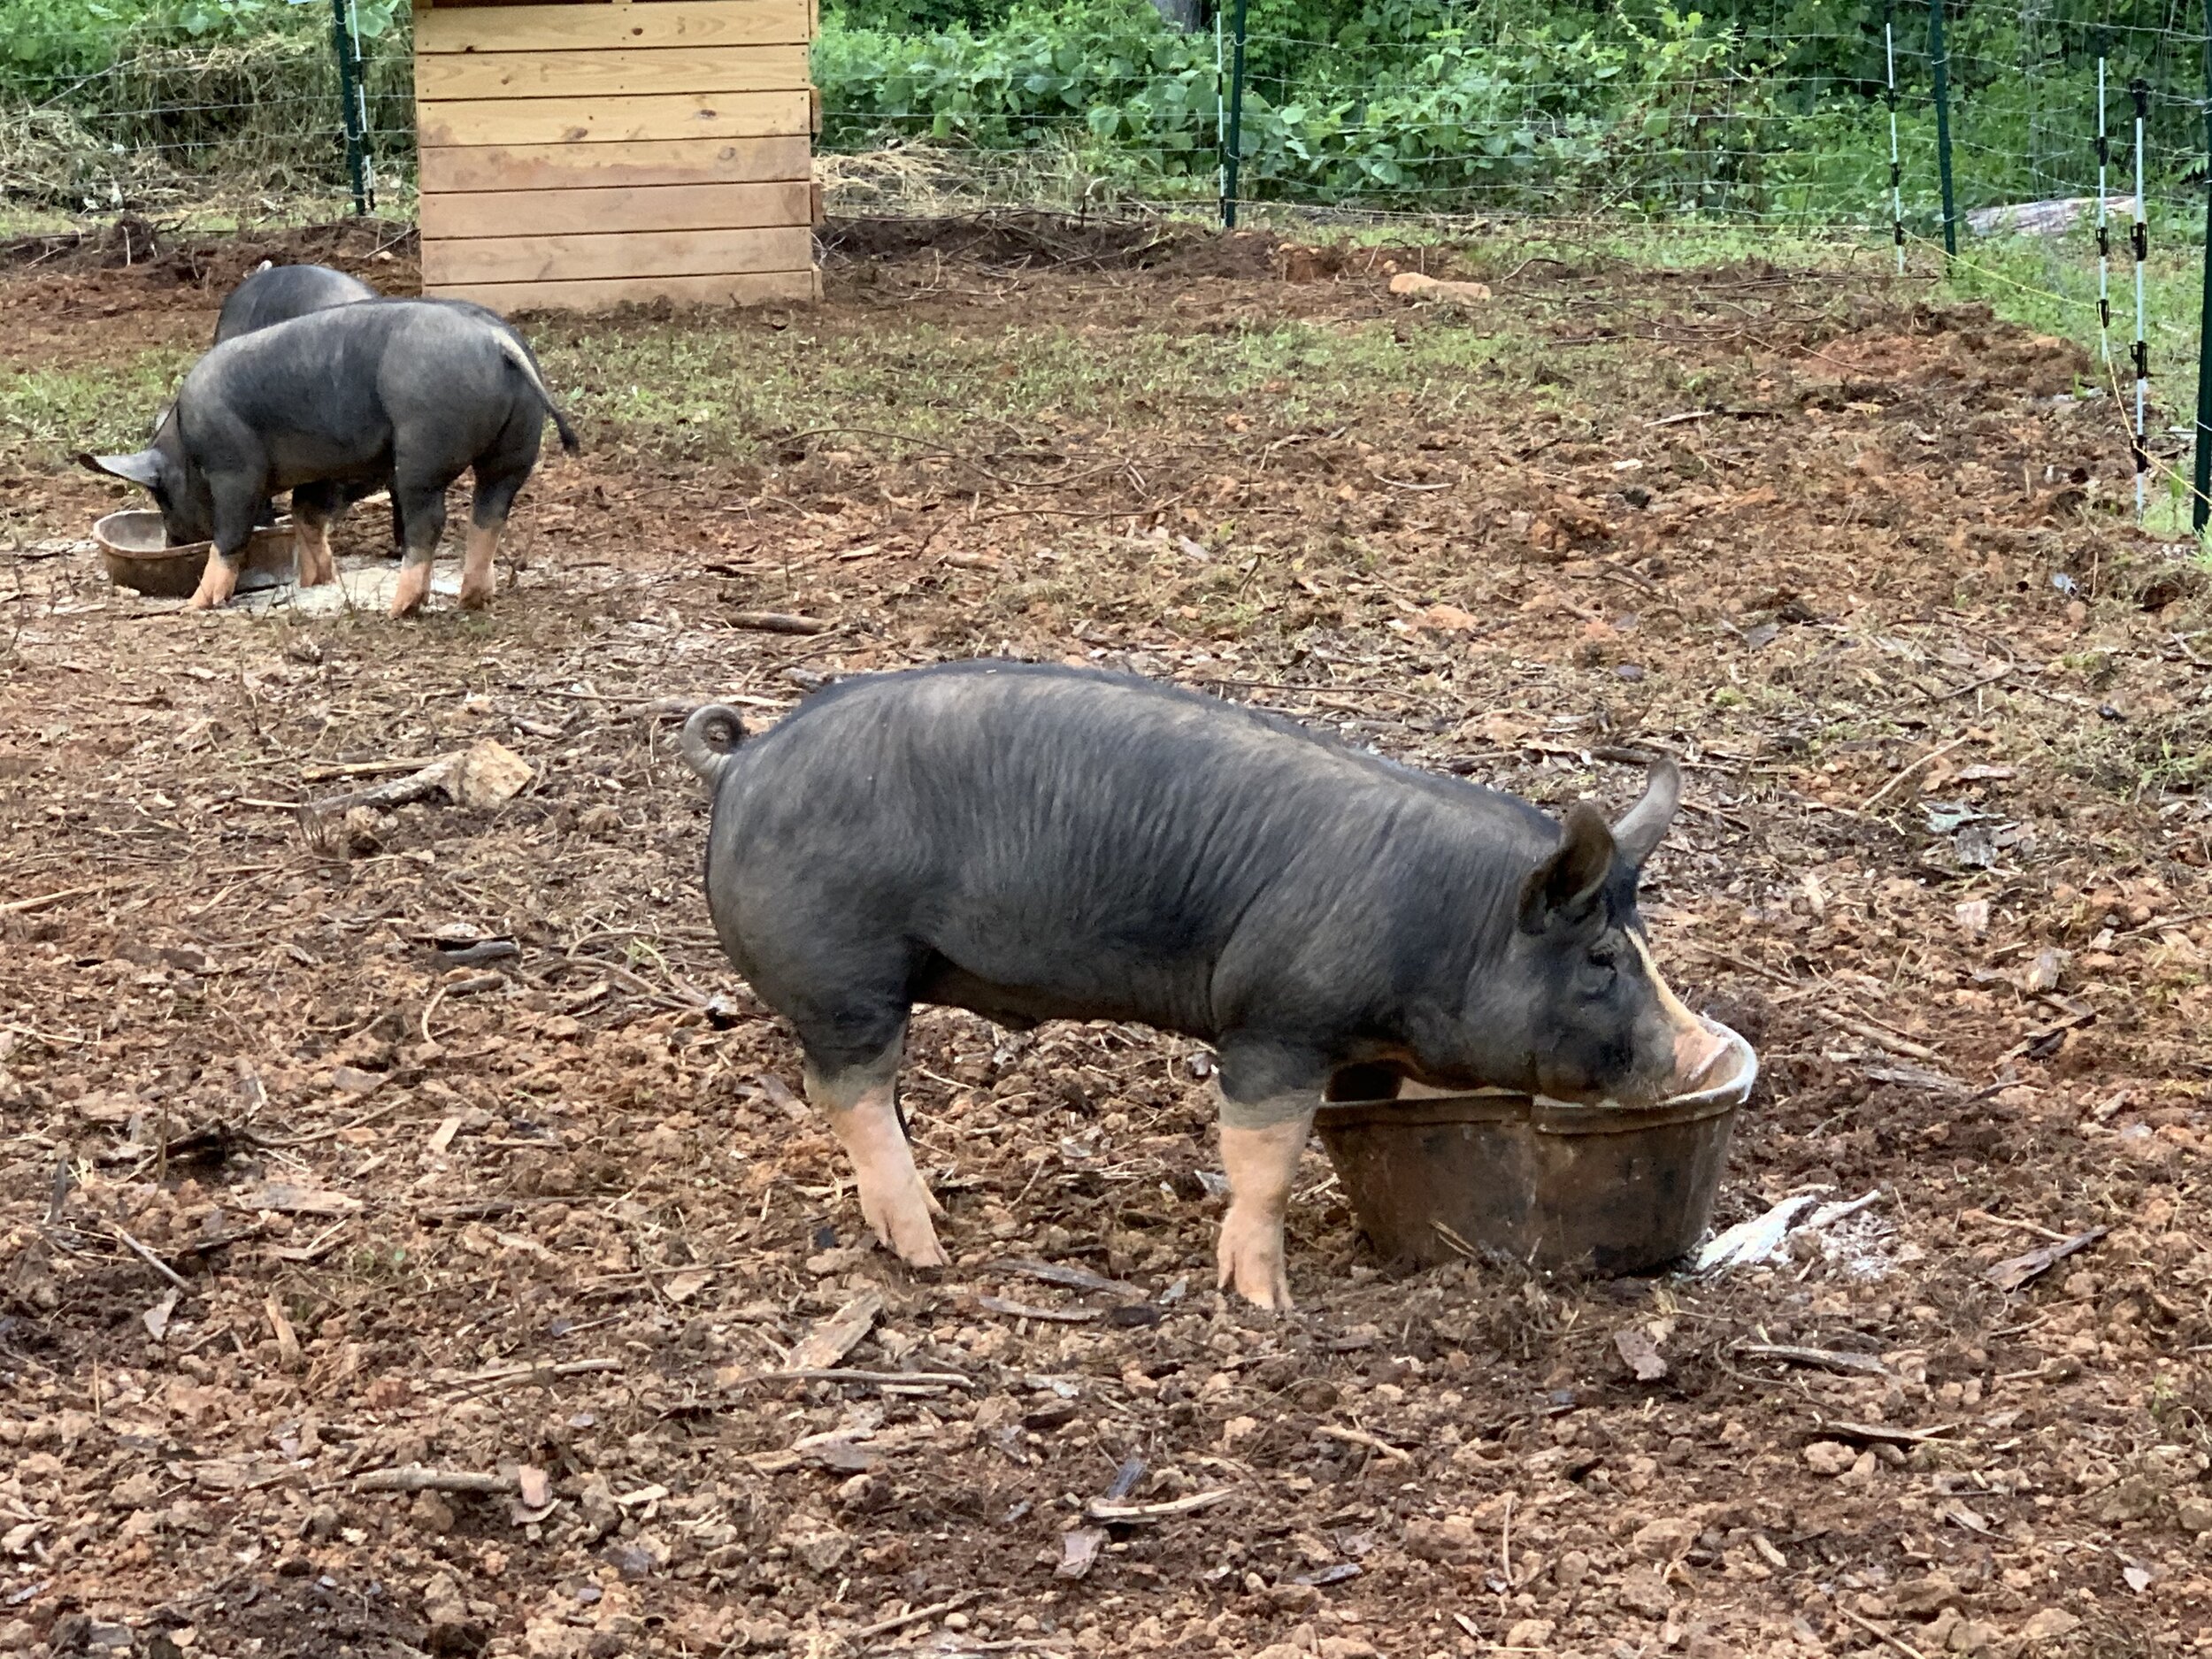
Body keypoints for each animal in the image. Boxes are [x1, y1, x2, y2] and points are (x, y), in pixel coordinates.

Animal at [80, 299, 578, 615]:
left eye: (162, 498)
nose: (171, 543)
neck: (185, 444)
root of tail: (495, 339)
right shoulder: (327, 471)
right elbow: (308, 516)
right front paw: (315, 581)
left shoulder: (234, 470)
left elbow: (232, 535)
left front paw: (194, 606)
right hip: (515, 448)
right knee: (490, 512)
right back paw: (473, 599)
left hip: (423, 449)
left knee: (430, 521)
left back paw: (401, 609)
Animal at [680, 662, 1726, 1310]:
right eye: (1601, 960)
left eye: (1642, 942)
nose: (1704, 1049)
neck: (1451, 923)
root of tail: (743, 757)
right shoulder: (1275, 1022)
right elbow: (1263, 1159)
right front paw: (1268, 1304)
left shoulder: (1360, 1050)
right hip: (844, 977)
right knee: (847, 1090)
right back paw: (928, 1250)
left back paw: (934, 1218)